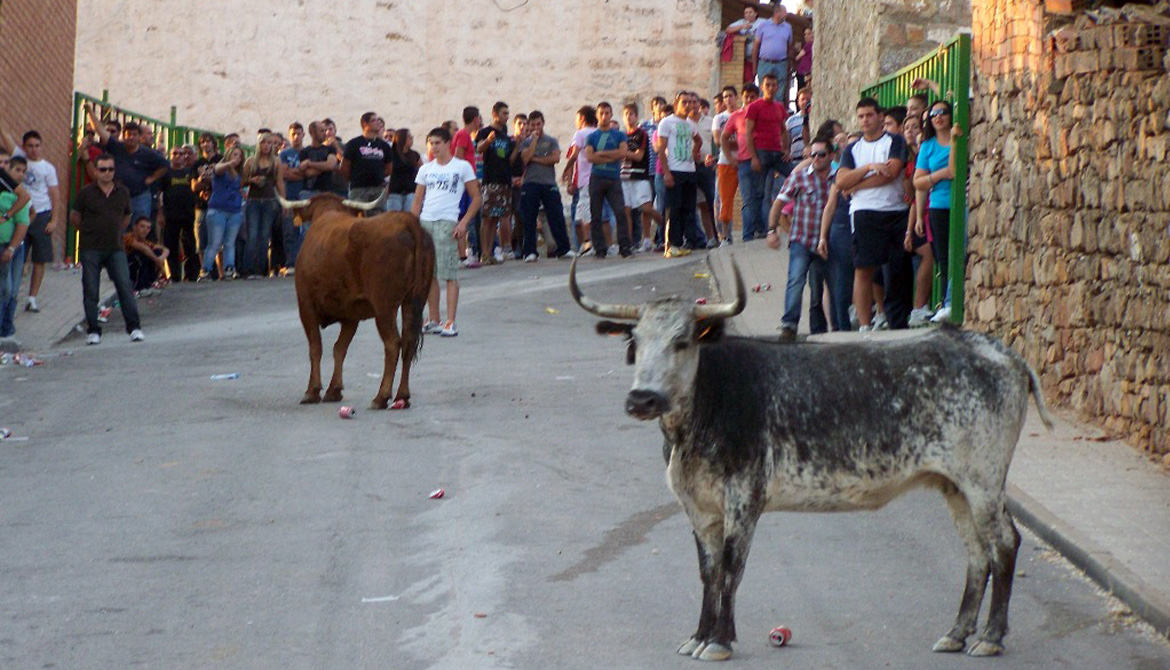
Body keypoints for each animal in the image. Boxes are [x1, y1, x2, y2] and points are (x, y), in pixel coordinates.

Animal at [280, 189, 437, 406]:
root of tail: (405, 219)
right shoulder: (351, 314)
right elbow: (339, 348)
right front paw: (334, 390)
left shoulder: (306, 306)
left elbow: (316, 347)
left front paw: (312, 391)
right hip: (414, 301)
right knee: (408, 341)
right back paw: (402, 396)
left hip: (384, 307)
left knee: (393, 343)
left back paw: (381, 397)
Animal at [570, 258, 1057, 659]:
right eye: (635, 340)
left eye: (683, 341)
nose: (642, 398)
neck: (700, 413)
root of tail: (1002, 353)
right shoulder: (699, 509)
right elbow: (708, 572)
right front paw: (699, 635)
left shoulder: (744, 499)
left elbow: (731, 569)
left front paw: (721, 641)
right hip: (954, 486)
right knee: (977, 553)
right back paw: (956, 633)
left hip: (983, 481)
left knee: (1004, 544)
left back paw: (990, 637)